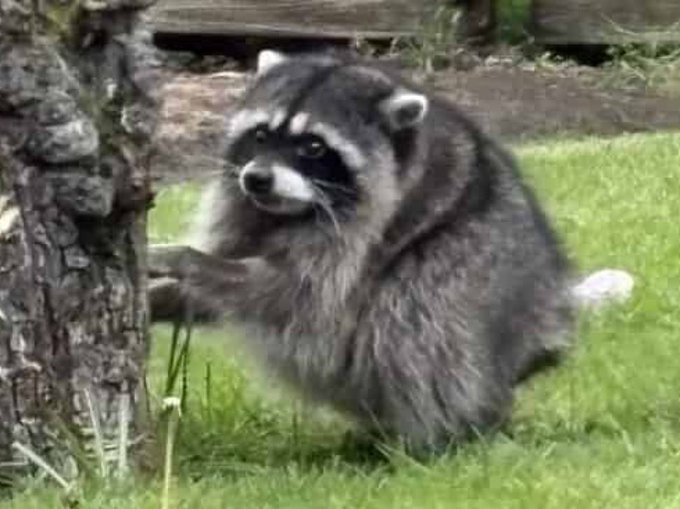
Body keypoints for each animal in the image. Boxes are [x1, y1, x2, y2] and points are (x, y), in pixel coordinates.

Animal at [150, 49, 575, 453]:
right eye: (260, 135)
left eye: (313, 147)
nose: (256, 179)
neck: (291, 212)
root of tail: (543, 335)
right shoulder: (245, 211)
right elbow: (219, 288)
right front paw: (165, 296)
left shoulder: (361, 236)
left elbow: (290, 295)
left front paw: (186, 259)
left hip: (474, 276)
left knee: (415, 313)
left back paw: (433, 436)